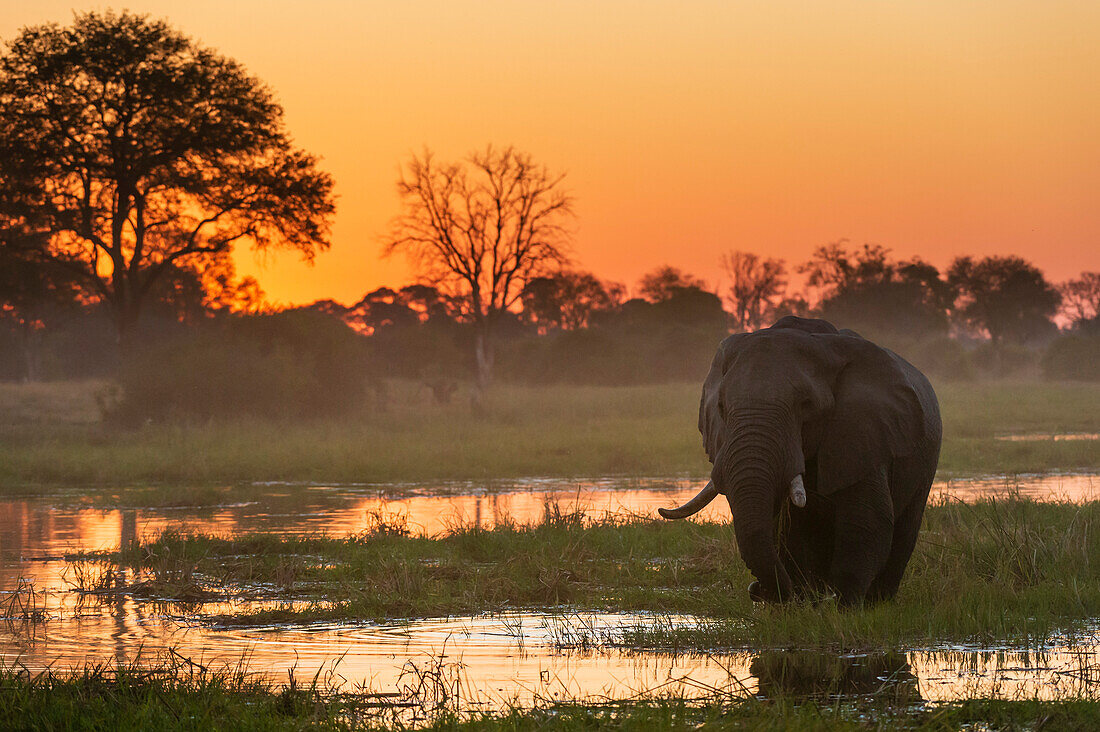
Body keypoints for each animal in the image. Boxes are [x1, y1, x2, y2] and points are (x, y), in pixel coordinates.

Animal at [655, 314, 941, 603]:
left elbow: (868, 519)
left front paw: (844, 607)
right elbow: (785, 525)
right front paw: (803, 603)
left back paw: (877, 601)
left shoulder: (862, 432)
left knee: (905, 526)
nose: (756, 591)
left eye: (806, 405)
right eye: (722, 407)